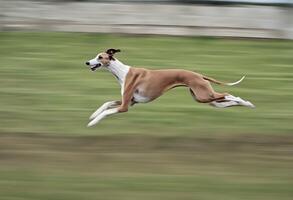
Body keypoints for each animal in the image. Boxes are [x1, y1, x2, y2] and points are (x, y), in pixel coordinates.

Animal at [84, 48, 253, 126]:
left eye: (100, 57)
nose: (87, 62)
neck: (122, 72)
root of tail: (199, 75)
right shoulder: (131, 101)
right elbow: (106, 103)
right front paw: (93, 115)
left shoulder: (125, 106)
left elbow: (107, 111)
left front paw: (93, 122)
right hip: (203, 98)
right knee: (226, 102)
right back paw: (247, 104)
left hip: (204, 95)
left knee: (228, 94)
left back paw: (246, 102)